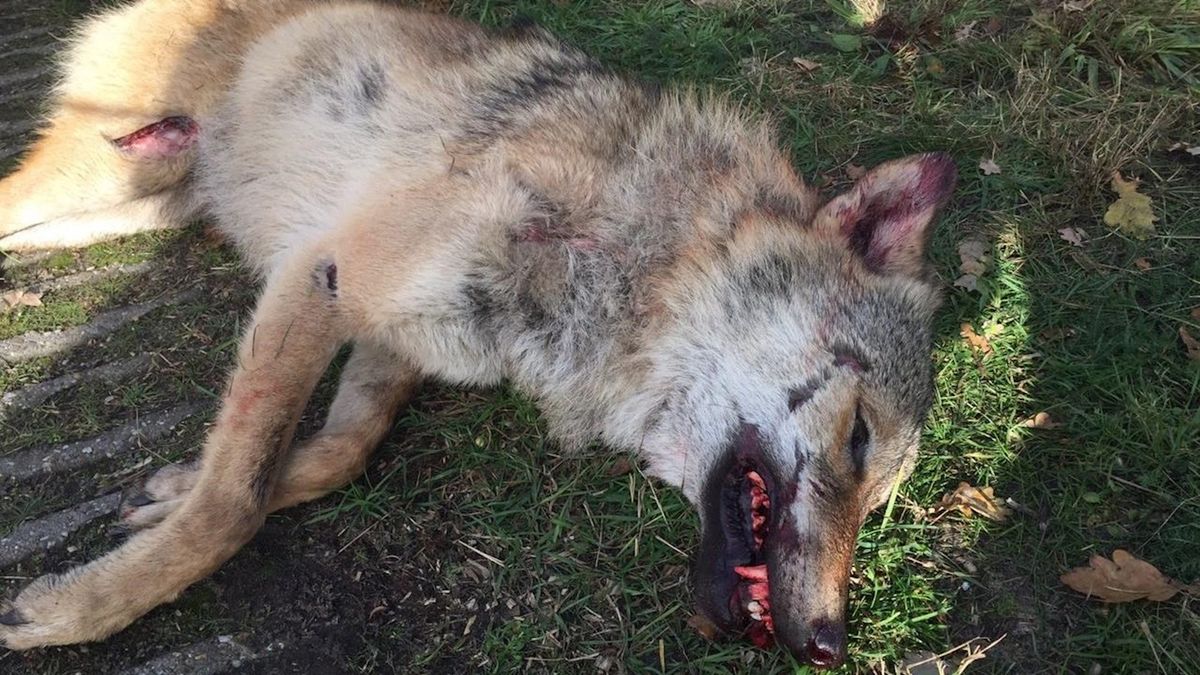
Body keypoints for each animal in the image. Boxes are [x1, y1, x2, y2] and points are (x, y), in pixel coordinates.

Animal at [0, 0, 955, 667]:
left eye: (882, 499)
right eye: (859, 436)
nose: (829, 643)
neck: (634, 258)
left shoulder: (397, 337)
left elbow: (333, 451)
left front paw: (172, 488)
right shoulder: (325, 276)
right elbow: (233, 502)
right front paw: (77, 609)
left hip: (135, 203)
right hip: (97, 173)